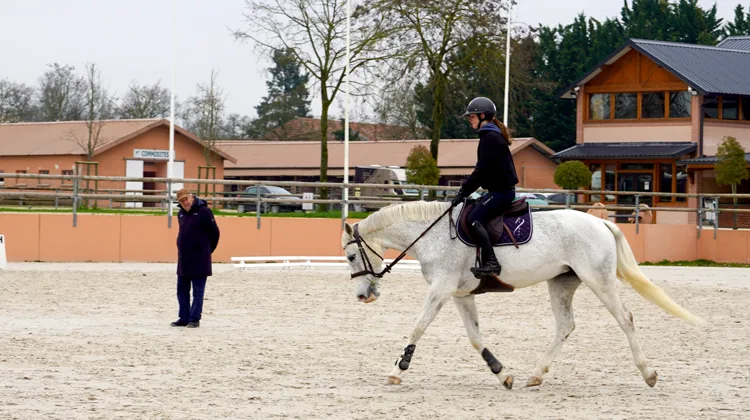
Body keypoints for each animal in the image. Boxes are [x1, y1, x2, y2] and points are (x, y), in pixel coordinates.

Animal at [341, 200, 704, 389]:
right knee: (565, 325)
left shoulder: (441, 289)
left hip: (599, 281)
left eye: (351, 256)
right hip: (562, 283)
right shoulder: (460, 294)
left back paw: (649, 374)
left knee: (625, 319)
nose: (363, 296)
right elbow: (475, 337)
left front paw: (397, 369)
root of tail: (601, 223)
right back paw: (536, 374)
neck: (432, 235)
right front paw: (502, 372)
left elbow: (418, 327)